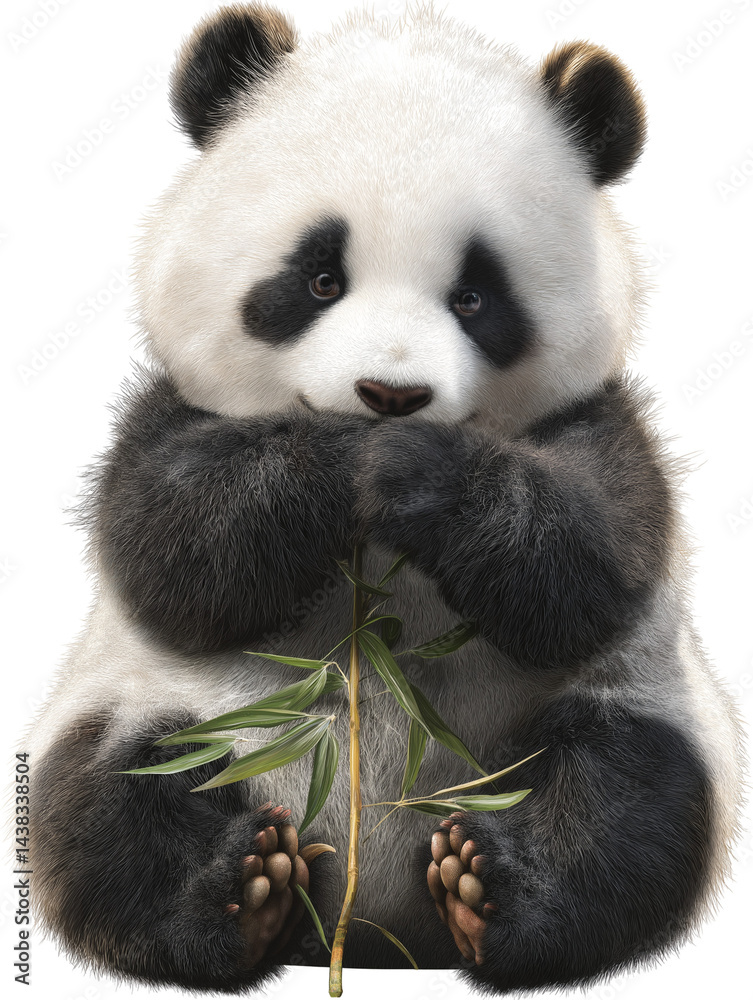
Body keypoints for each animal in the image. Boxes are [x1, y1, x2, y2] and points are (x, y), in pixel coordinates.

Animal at [28, 3, 745, 996]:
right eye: (320, 278)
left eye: (474, 297)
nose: (389, 394)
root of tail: (372, 926)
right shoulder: (168, 417)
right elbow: (173, 545)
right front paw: (334, 465)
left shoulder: (597, 424)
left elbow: (590, 562)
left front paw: (413, 469)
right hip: (155, 710)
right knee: (111, 804)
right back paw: (241, 896)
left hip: (620, 714)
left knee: (629, 800)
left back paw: (487, 892)